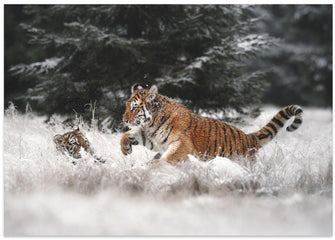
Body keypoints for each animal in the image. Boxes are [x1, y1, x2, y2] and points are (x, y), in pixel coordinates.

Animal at [121, 83, 304, 164]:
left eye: (134, 108)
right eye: (126, 106)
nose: (124, 120)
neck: (152, 123)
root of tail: (249, 137)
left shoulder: (182, 144)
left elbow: (169, 157)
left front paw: (155, 165)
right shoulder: (151, 137)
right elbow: (127, 135)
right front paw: (125, 149)